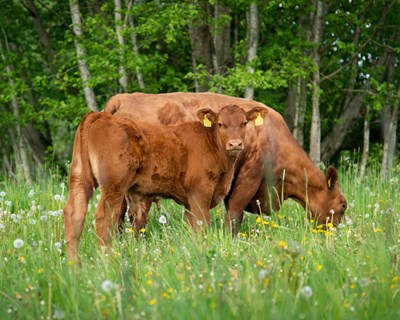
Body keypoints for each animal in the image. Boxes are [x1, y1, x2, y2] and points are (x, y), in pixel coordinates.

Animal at [64, 105, 268, 260]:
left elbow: (191, 229)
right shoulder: (200, 193)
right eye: (220, 124)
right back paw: (107, 261)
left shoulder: (189, 202)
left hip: (79, 177)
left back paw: (74, 266)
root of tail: (100, 115)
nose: (235, 144)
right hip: (114, 186)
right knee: (104, 218)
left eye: (244, 123)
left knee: (75, 213)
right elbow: (201, 226)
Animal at [105, 91, 346, 231]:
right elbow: (234, 216)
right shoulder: (249, 178)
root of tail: (125, 97)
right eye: (343, 205)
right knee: (137, 218)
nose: (337, 232)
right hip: (142, 191)